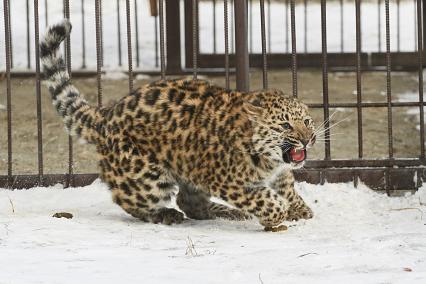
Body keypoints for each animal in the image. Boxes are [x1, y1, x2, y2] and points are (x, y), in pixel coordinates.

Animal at [41, 20, 316, 229]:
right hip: (145, 175)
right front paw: (277, 213)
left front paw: (299, 209)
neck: (268, 159)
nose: (306, 140)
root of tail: (105, 117)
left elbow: (287, 186)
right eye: (285, 126)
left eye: (306, 122)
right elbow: (260, 198)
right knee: (131, 200)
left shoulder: (278, 171)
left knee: (190, 203)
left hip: (187, 166)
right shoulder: (226, 181)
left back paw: (228, 212)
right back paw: (166, 214)